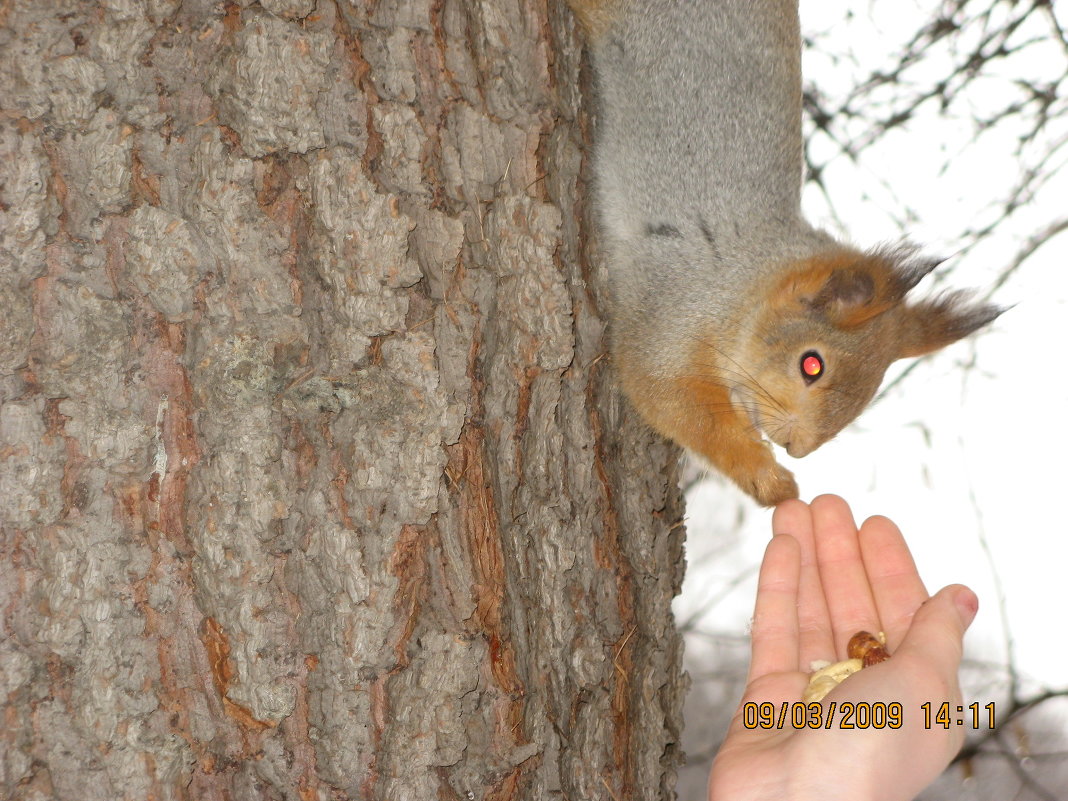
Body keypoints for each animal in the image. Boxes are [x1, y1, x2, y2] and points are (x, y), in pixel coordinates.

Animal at [568, 0, 999, 508]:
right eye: (811, 364)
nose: (797, 448)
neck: (746, 278)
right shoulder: (673, 308)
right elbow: (668, 396)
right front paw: (771, 480)